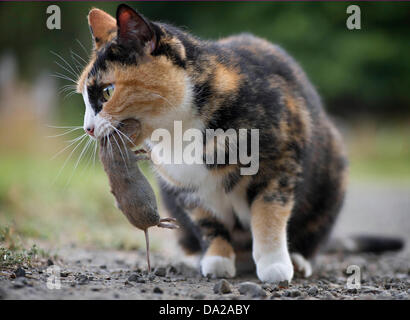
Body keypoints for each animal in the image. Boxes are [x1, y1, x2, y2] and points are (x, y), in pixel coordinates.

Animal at [76, 3, 346, 282]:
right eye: (83, 95)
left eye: (107, 91)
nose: (88, 129)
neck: (179, 131)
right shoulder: (185, 187)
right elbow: (208, 222)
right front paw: (217, 259)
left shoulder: (279, 163)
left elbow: (268, 212)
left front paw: (274, 264)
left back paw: (298, 260)